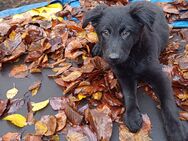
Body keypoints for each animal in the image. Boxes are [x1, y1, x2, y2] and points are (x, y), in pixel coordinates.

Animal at [83, 1, 187, 141]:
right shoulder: (124, 76)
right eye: (105, 32)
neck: (133, 56)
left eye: (126, 33)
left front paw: (175, 128)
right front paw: (132, 116)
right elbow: (129, 95)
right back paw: (98, 47)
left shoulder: (161, 76)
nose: (113, 58)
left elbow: (168, 102)